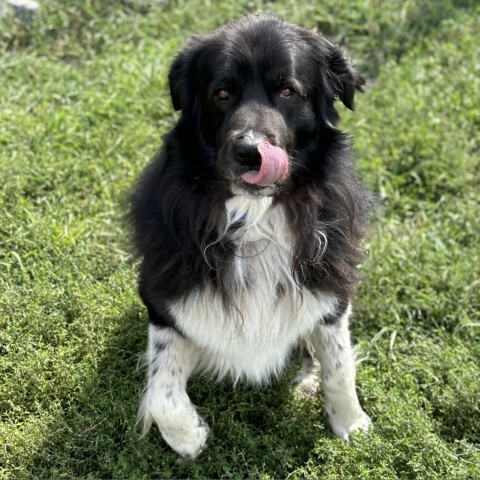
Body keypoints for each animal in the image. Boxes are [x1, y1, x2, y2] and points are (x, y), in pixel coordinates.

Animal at [132, 14, 376, 458]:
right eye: (222, 94)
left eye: (288, 91)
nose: (250, 152)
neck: (255, 217)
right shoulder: (165, 299)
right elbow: (162, 390)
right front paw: (188, 436)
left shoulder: (332, 289)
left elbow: (339, 363)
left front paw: (350, 423)